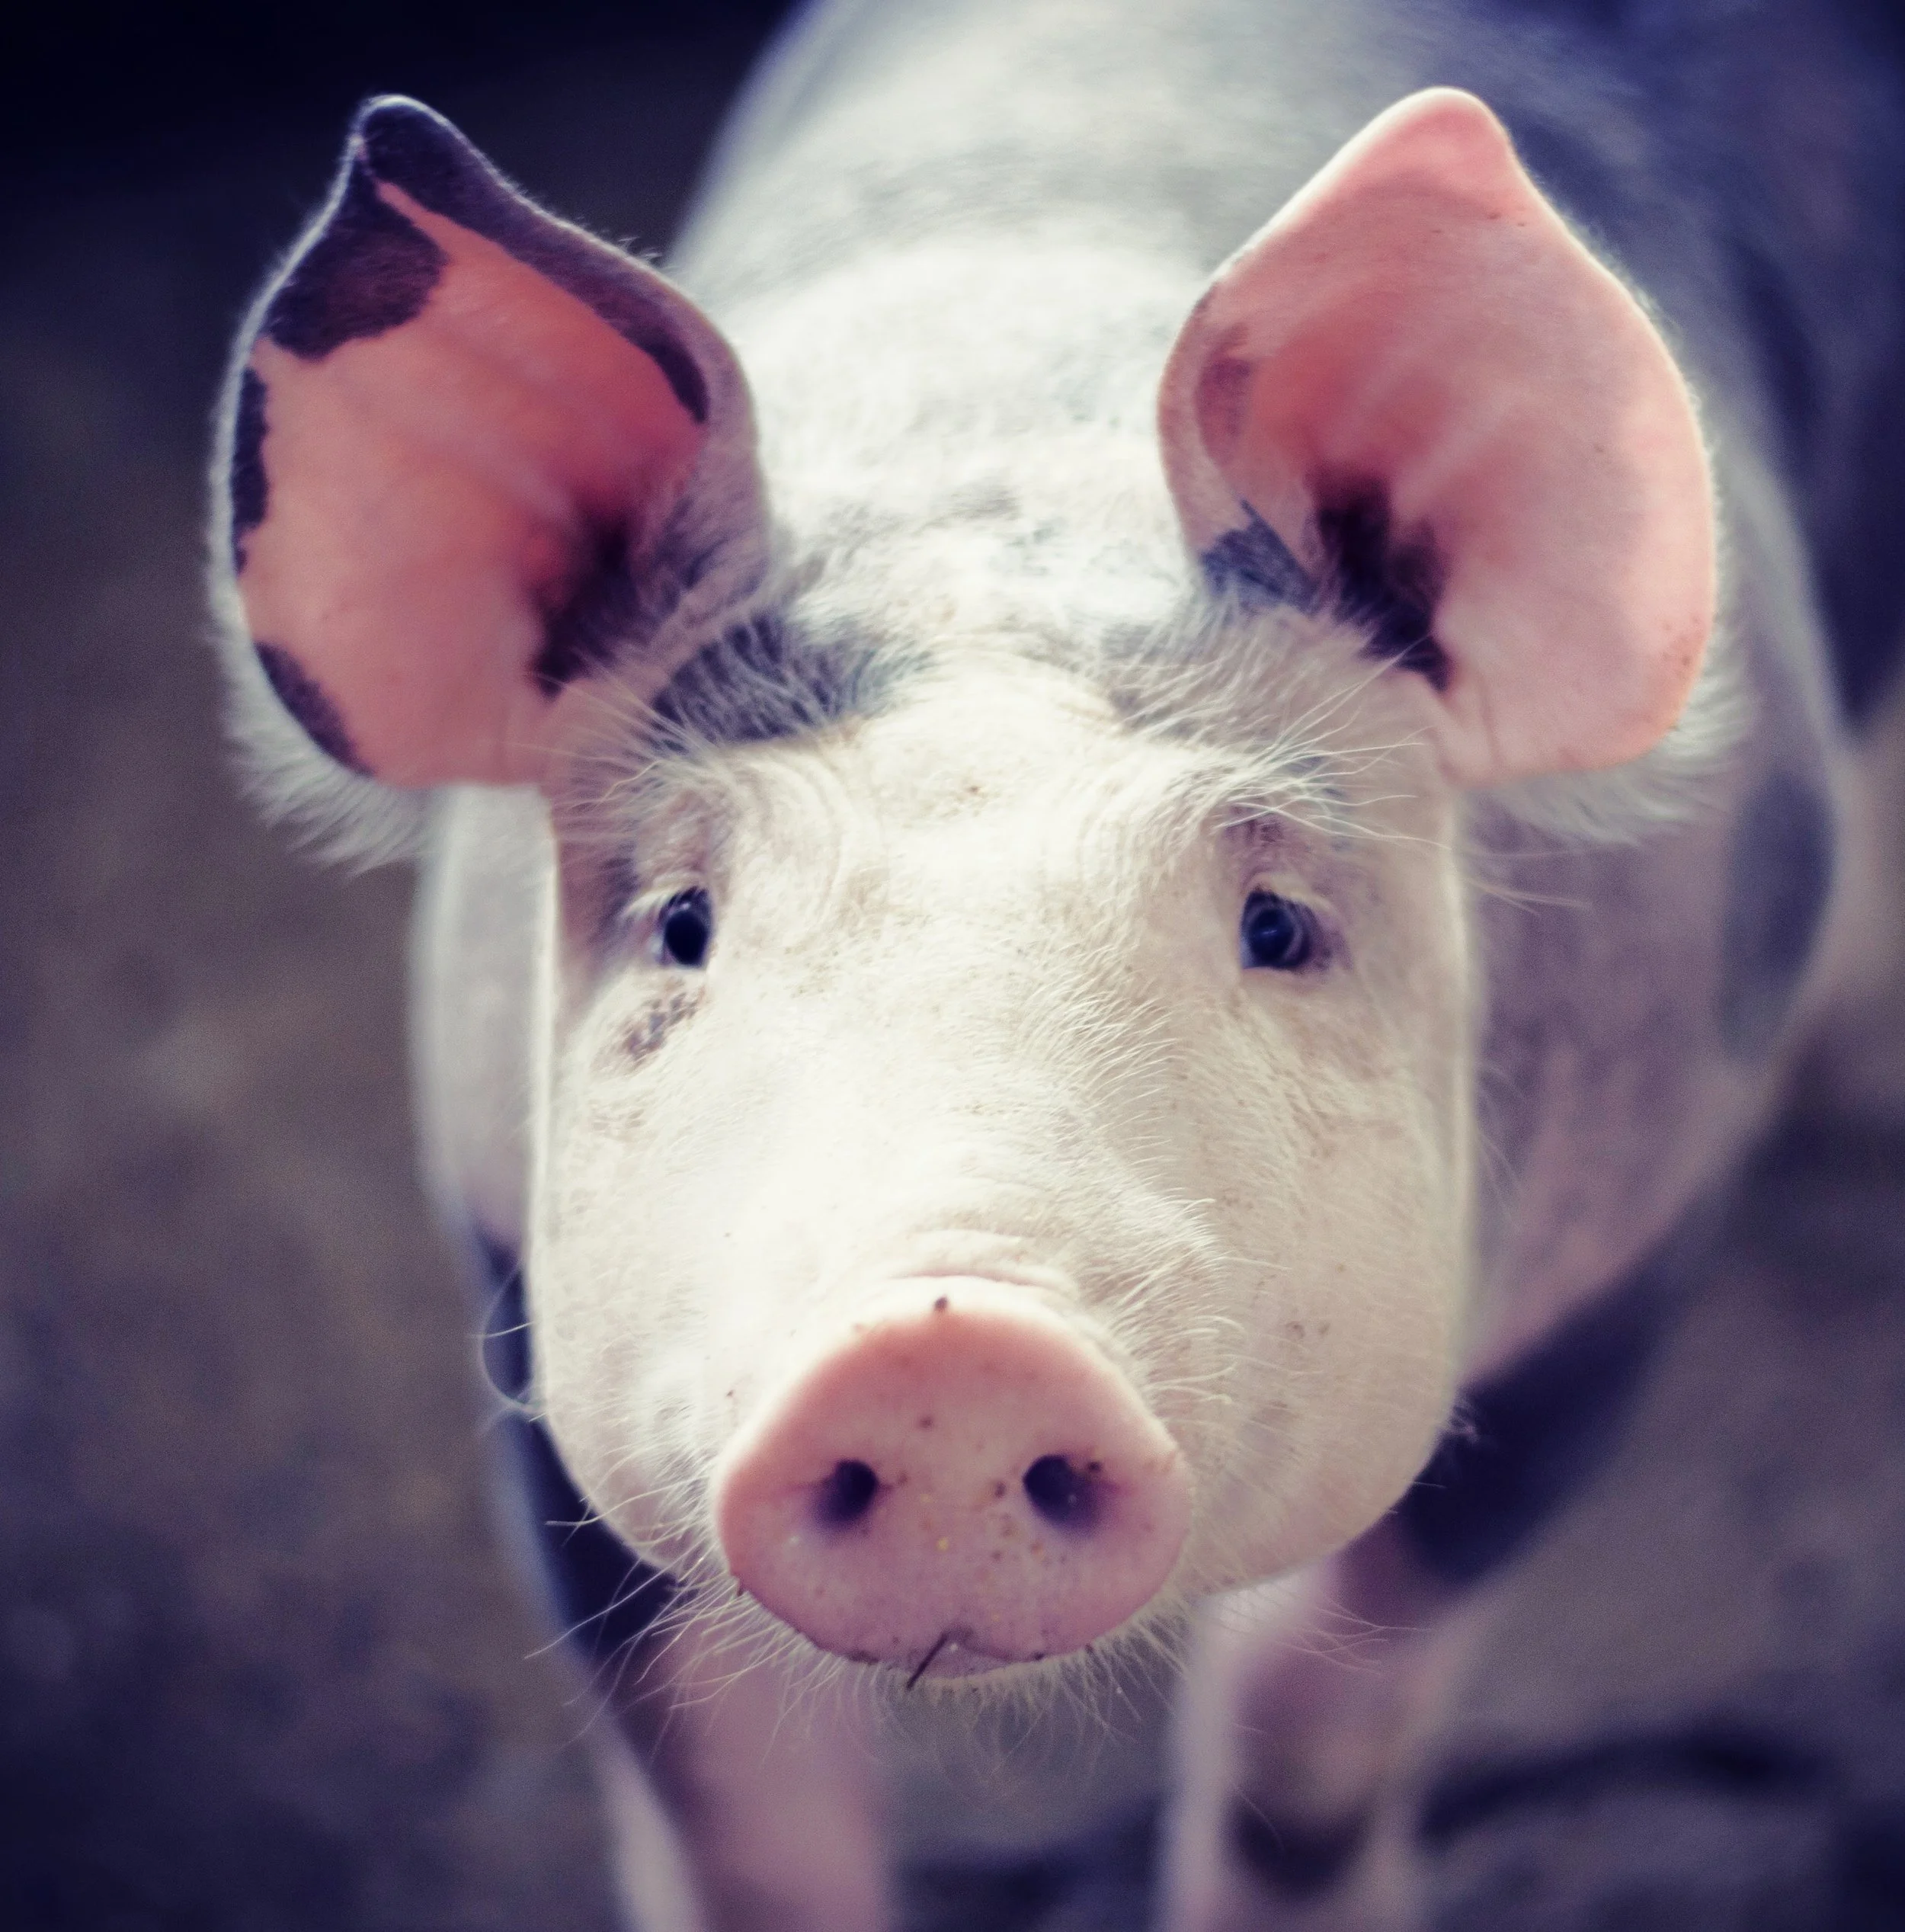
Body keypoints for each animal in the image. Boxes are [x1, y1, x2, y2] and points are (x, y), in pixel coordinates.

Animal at [206, 0, 1905, 1925]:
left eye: (1274, 924)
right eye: (685, 923)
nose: (948, 1343)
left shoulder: (1618, 1252)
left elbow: (1304, 1760)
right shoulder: (514, 1287)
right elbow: (735, 1819)